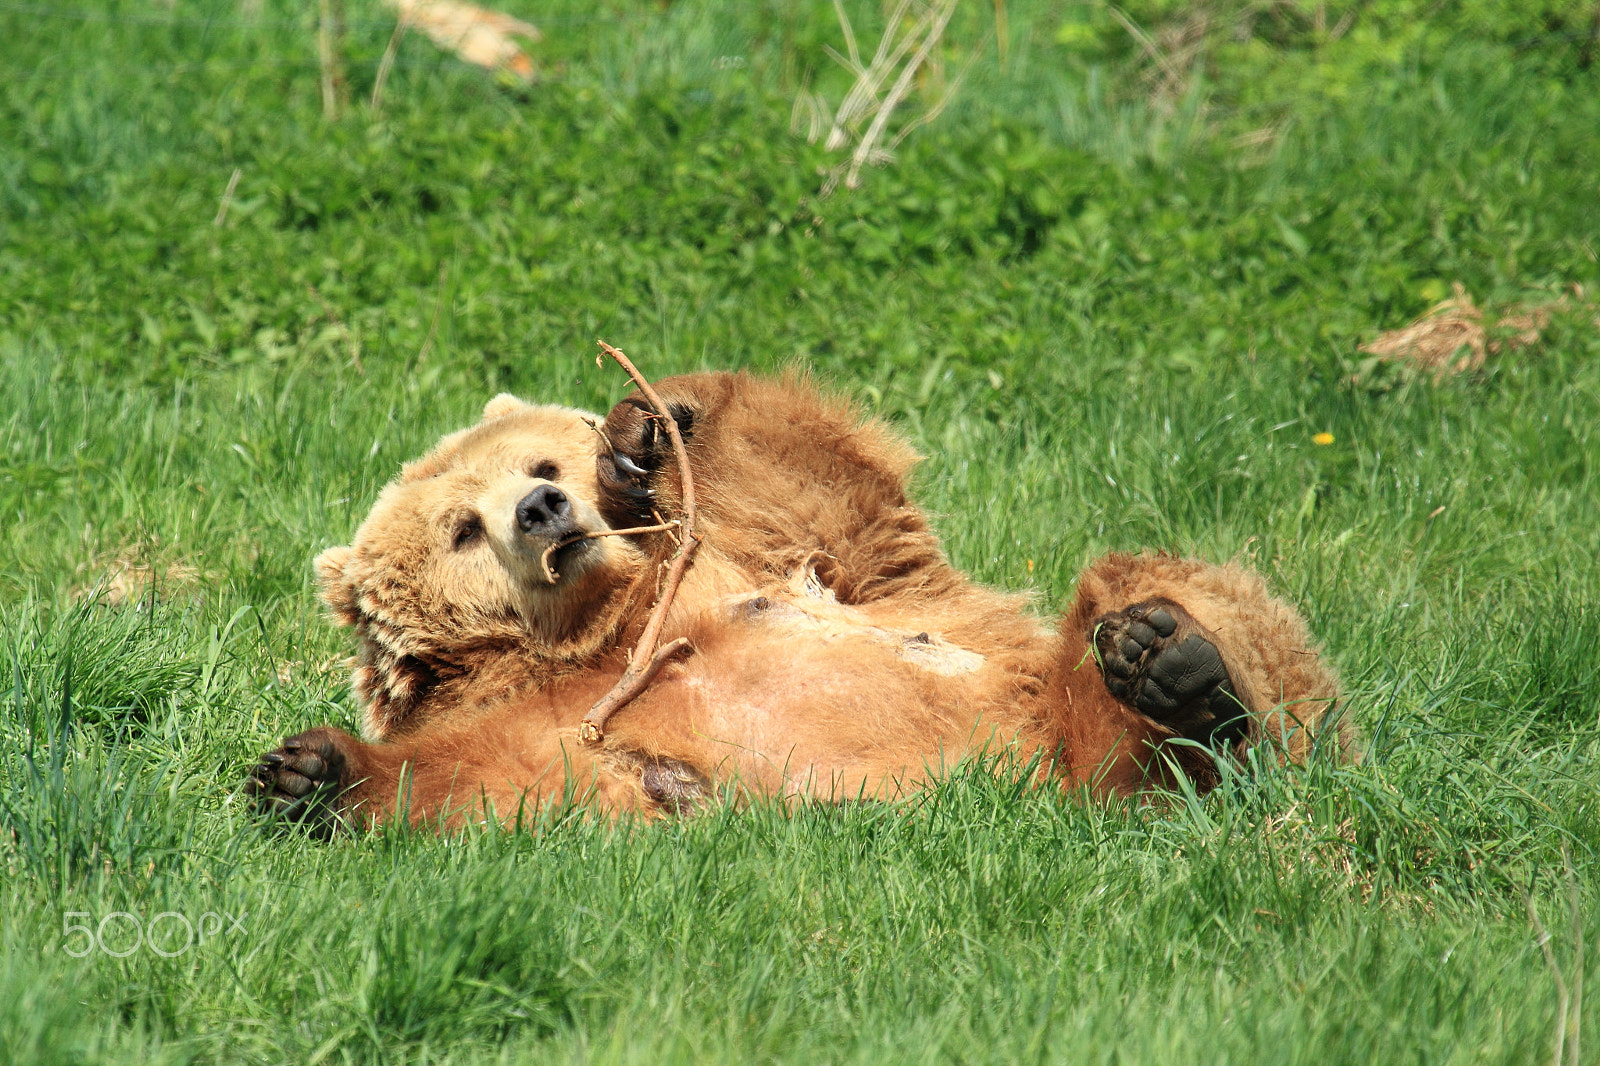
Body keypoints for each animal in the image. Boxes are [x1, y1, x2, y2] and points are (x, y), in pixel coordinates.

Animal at [249, 372, 1350, 832]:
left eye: (542, 462)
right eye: (461, 529)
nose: (543, 507)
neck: (611, 625)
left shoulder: (759, 556)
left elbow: (825, 491)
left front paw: (653, 425)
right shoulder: (551, 717)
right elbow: (498, 780)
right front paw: (307, 773)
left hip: (1053, 684)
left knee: (1152, 590)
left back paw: (1180, 673)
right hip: (1078, 761)